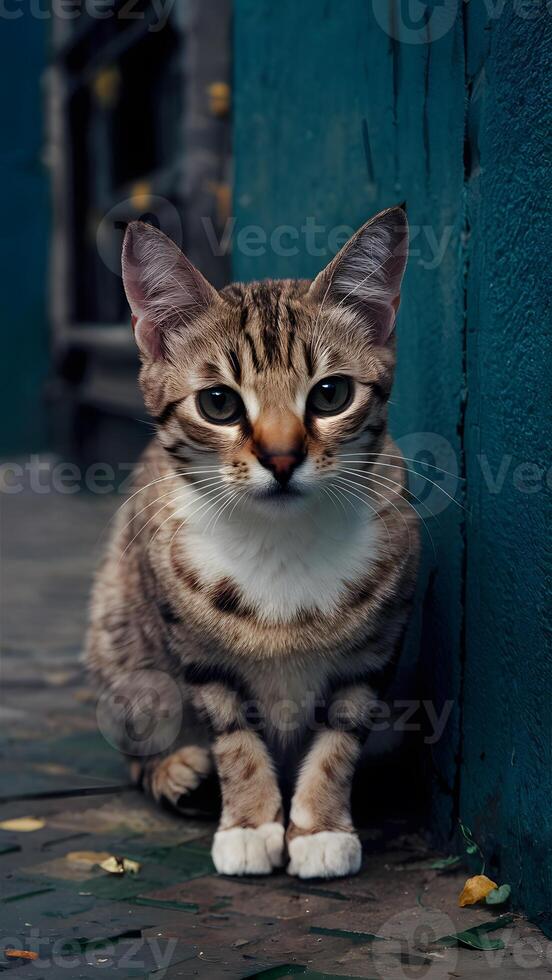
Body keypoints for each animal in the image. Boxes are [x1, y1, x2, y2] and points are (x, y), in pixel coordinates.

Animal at [87, 207, 418, 880]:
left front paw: (320, 828)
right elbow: (233, 731)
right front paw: (249, 825)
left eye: (331, 394)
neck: (280, 541)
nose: (283, 457)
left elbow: (341, 732)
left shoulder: (377, 646)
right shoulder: (192, 643)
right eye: (218, 403)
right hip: (122, 640)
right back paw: (177, 772)